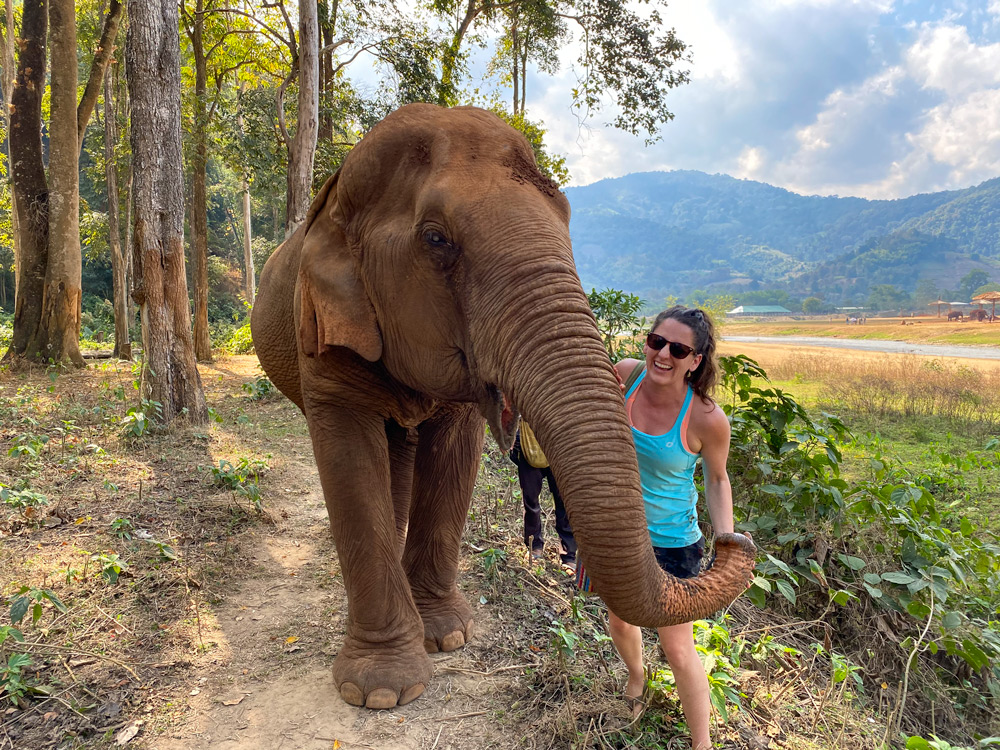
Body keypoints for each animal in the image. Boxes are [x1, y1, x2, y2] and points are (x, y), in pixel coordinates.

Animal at [252, 104, 756, 712]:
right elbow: (348, 454)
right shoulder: (321, 331)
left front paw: (448, 637)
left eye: (566, 217)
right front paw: (380, 692)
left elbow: (455, 455)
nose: (732, 540)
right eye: (436, 238)